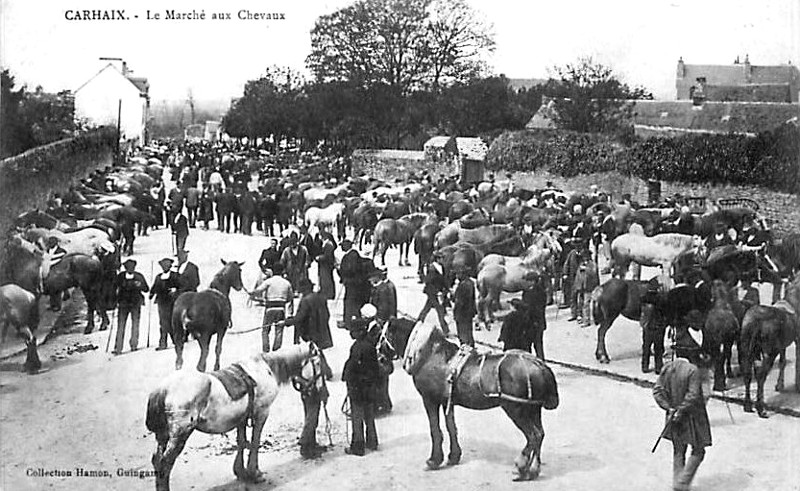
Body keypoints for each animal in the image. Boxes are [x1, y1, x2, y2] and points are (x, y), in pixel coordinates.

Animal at [404, 324, 560, 482]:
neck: (431, 354)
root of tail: (540, 365)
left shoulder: (429, 399)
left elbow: (435, 430)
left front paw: (433, 460)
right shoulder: (446, 401)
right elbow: (451, 427)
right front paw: (453, 456)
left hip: (515, 408)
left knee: (533, 436)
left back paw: (521, 467)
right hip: (533, 408)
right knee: (540, 434)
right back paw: (533, 470)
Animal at [736, 274, 800, 418]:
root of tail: (755, 321)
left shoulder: (783, 345)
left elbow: (782, 362)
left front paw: (780, 385)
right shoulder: (797, 340)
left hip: (747, 348)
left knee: (748, 373)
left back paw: (747, 404)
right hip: (770, 351)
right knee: (761, 374)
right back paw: (761, 408)